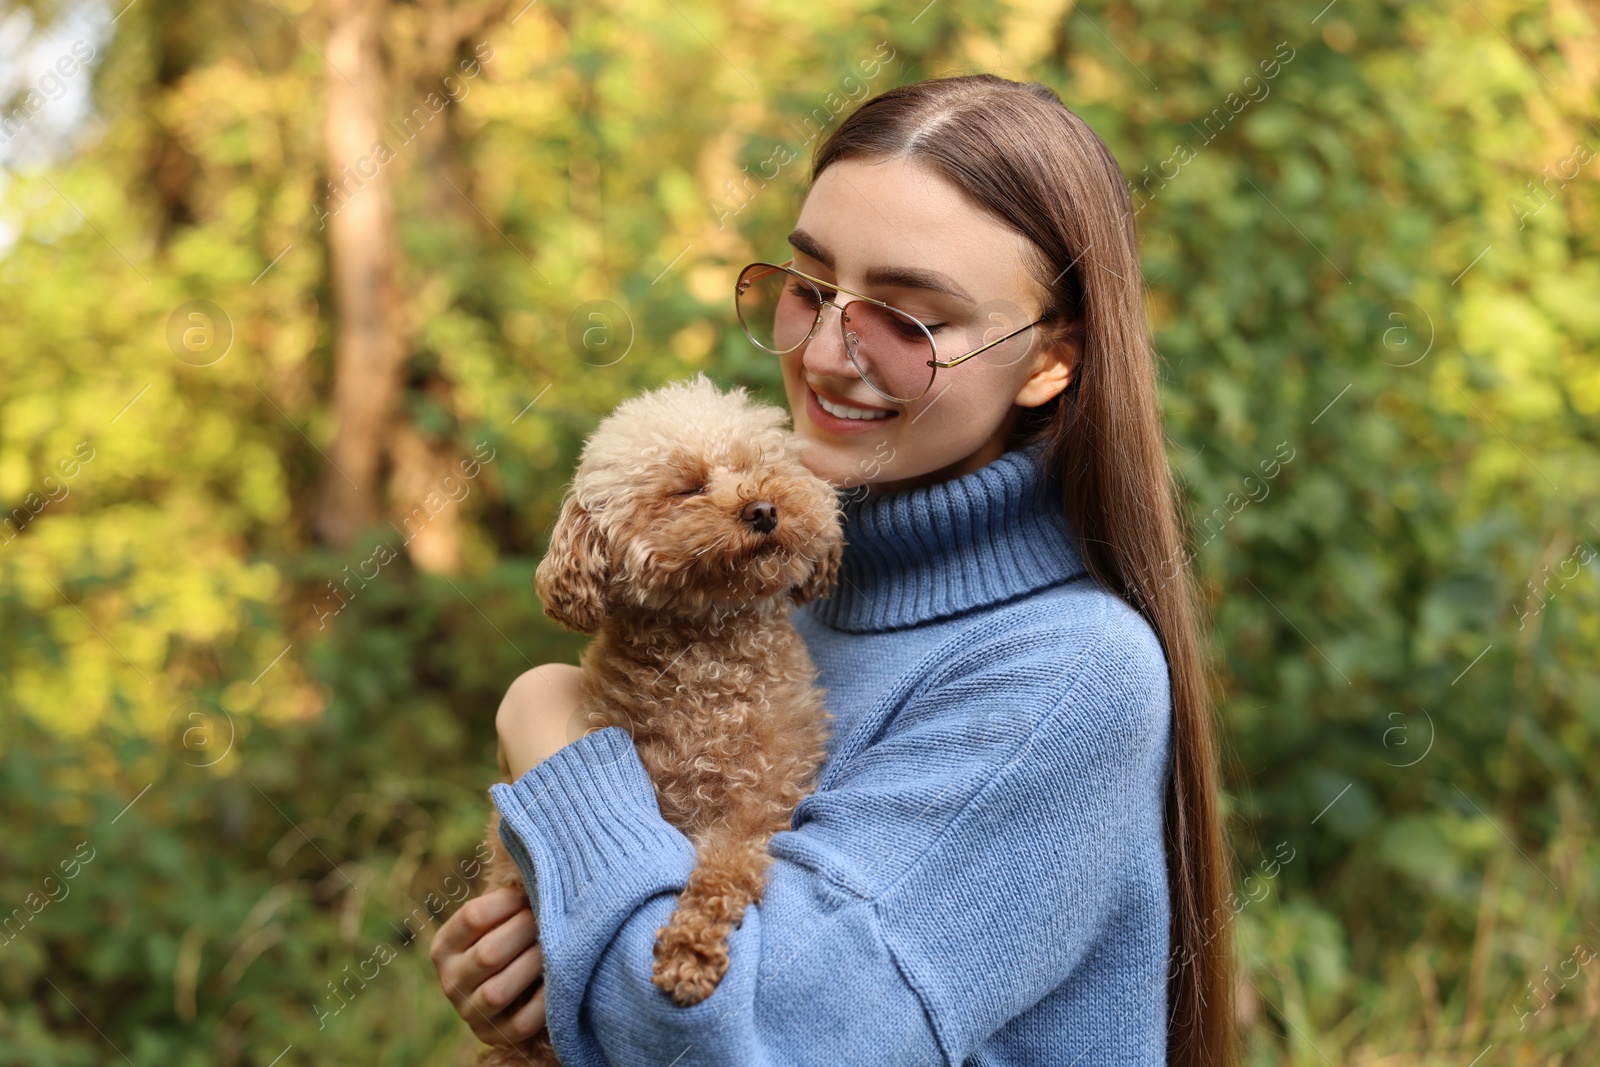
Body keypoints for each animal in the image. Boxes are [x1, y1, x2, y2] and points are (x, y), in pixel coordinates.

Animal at [476, 375, 844, 1067]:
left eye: (757, 466)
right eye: (687, 487)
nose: (763, 510)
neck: (710, 662)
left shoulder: (763, 798)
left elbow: (724, 869)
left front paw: (689, 950)